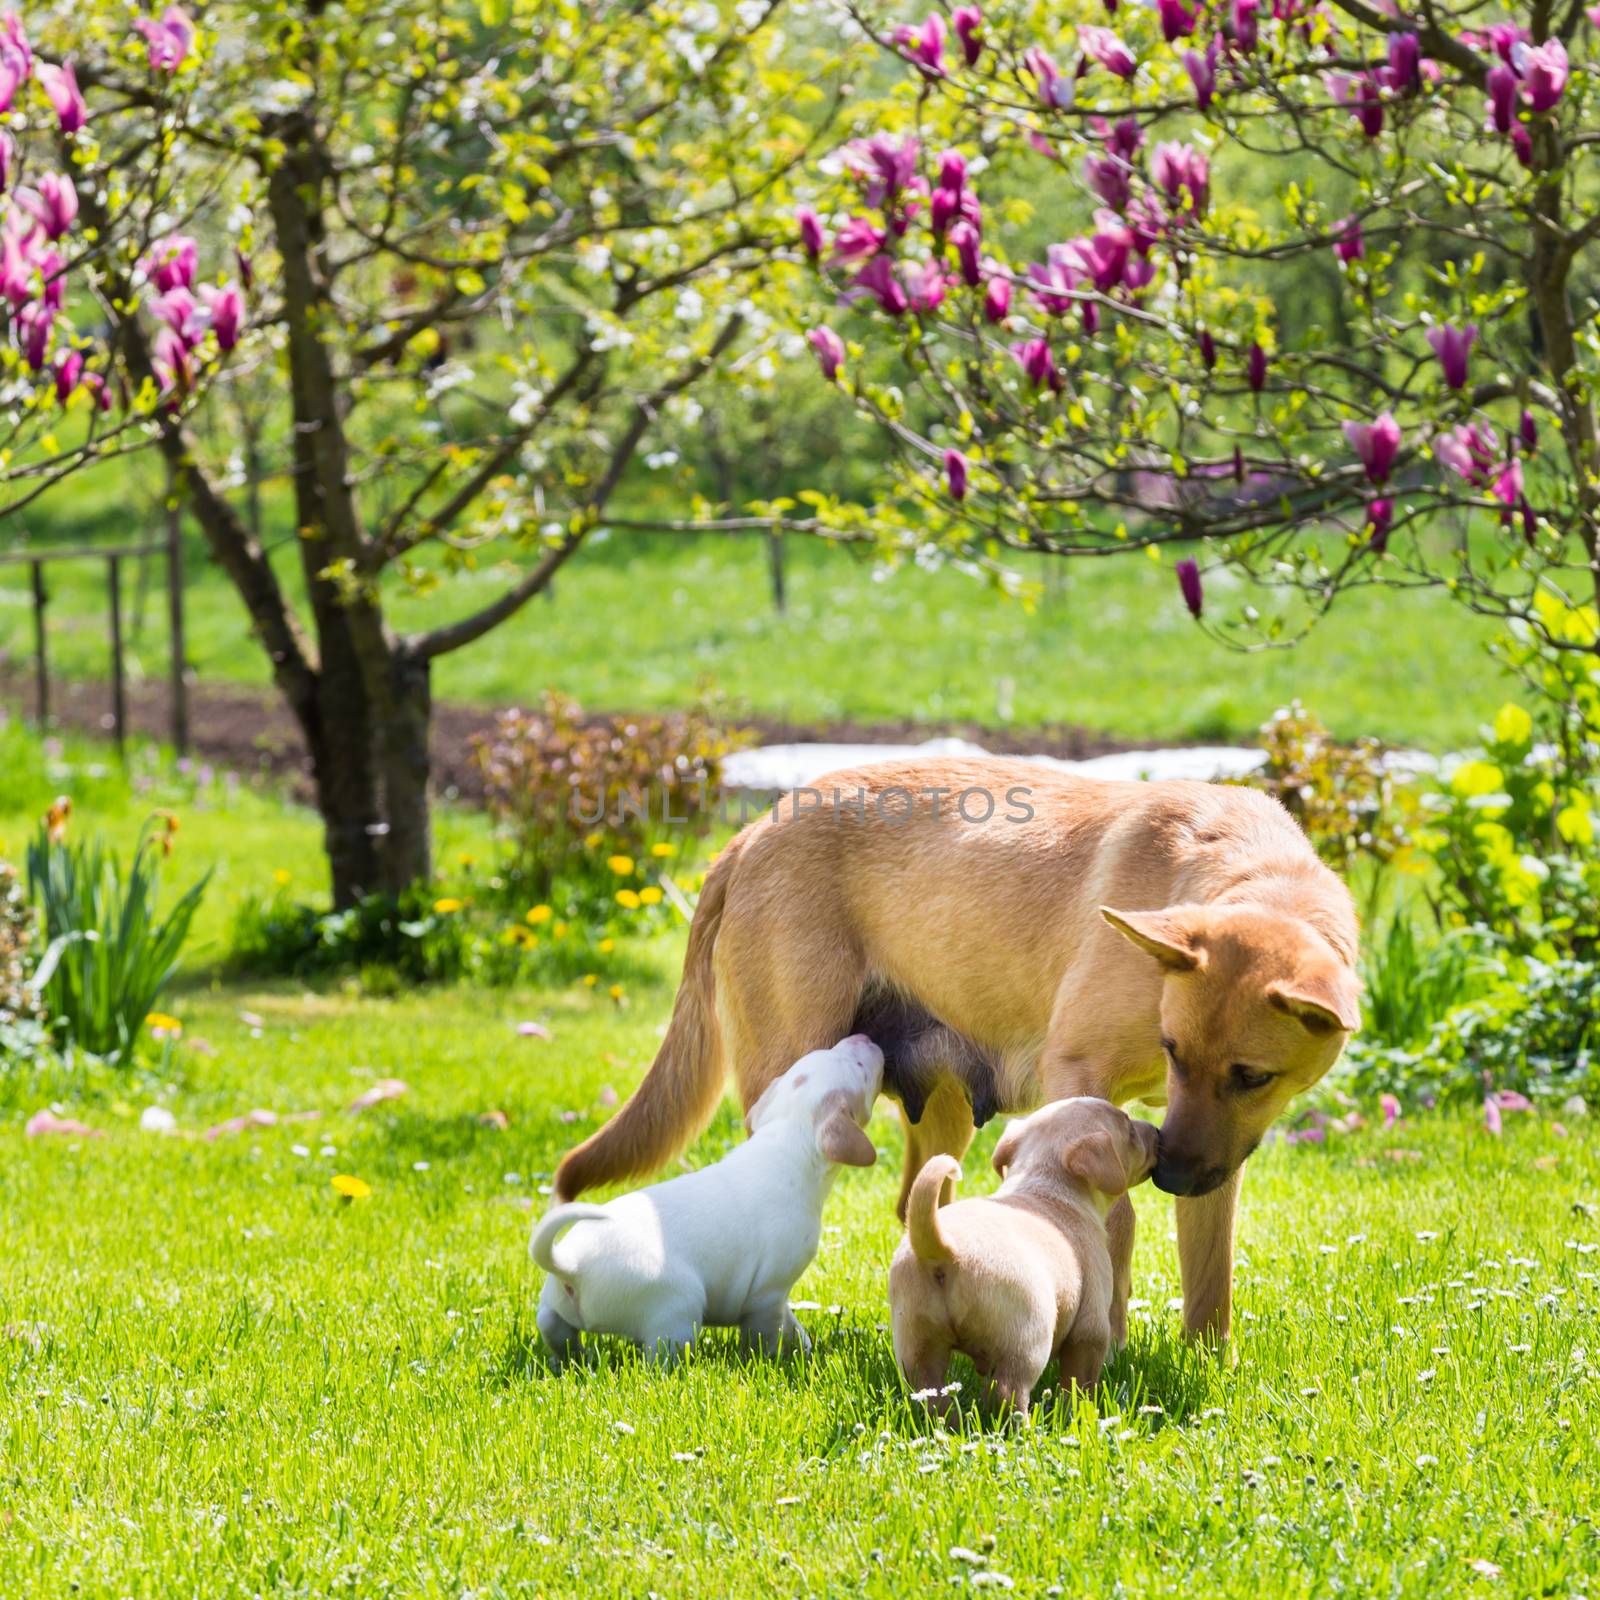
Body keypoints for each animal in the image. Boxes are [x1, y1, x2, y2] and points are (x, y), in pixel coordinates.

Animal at [531, 1036, 883, 1363]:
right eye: (860, 1069)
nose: (866, 1037)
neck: (787, 1138)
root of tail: (571, 1265)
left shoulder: (774, 1297)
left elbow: (790, 1320)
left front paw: (803, 1346)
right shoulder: (767, 1293)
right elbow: (767, 1332)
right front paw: (771, 1361)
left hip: (552, 1309)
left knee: (557, 1334)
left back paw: (579, 1360)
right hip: (677, 1310)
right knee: (659, 1360)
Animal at [556, 755, 1356, 1344]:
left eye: (1252, 1077)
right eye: (1171, 1050)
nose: (1174, 1176)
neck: (1249, 877)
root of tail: (748, 834)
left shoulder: (1218, 1147)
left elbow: (1209, 1269)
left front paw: (1205, 1363)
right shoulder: (1082, 1074)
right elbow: (1116, 1219)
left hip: (942, 1119)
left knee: (916, 1207)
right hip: (789, 1078)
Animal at [896, 1100, 1158, 1414]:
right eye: (1129, 1128)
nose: (1158, 1132)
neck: (1044, 1184)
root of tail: (941, 1247)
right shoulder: (1091, 1327)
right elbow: (1078, 1383)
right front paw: (1079, 1413)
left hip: (917, 1345)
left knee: (933, 1396)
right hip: (1026, 1342)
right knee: (1007, 1392)